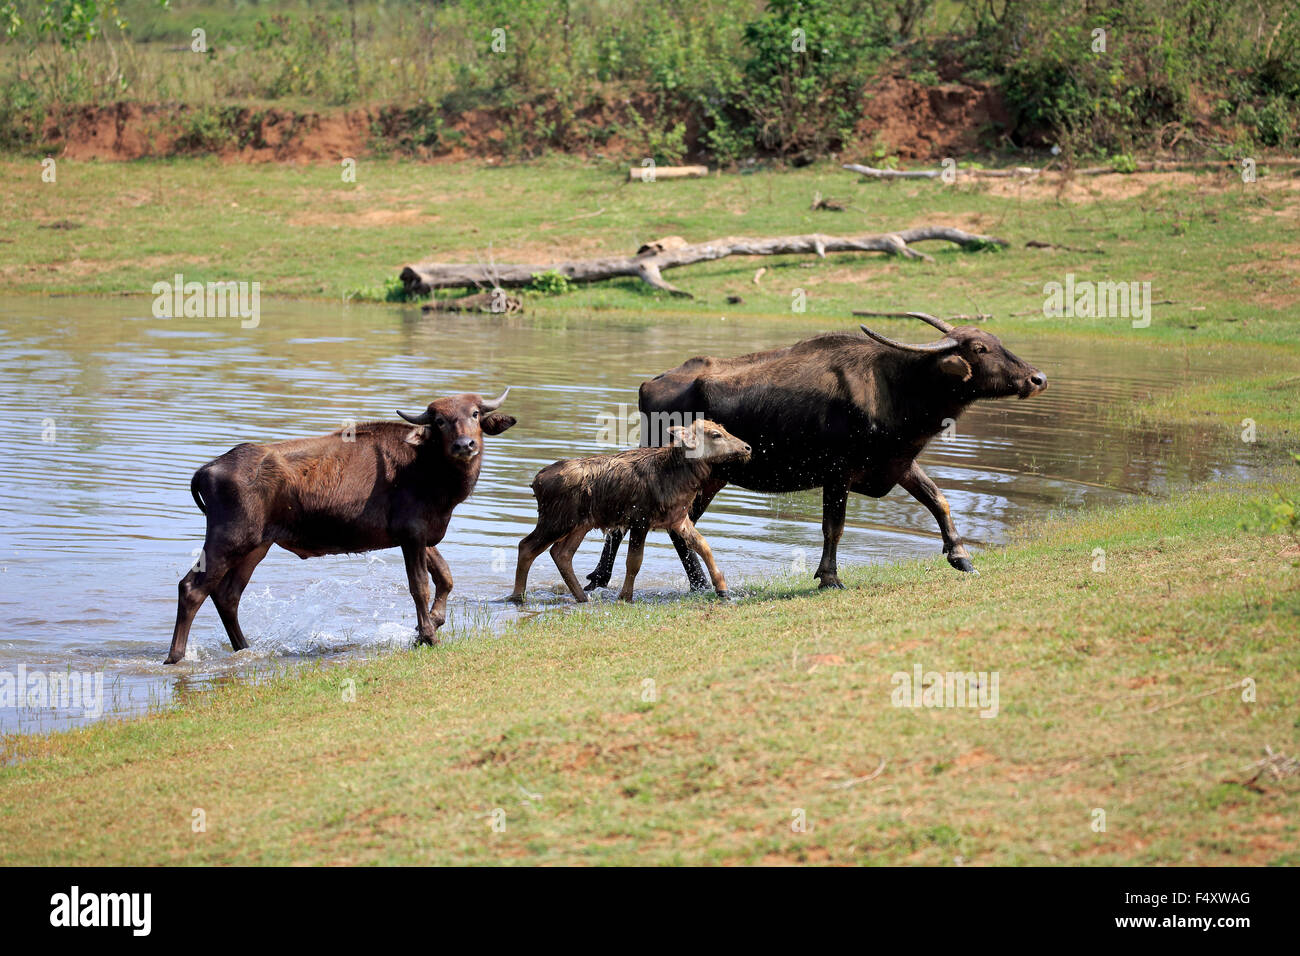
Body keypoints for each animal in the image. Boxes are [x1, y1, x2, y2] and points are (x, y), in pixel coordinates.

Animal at [167, 390, 517, 665]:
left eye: (474, 414)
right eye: (440, 421)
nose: (464, 445)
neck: (433, 474)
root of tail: (206, 470)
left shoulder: (421, 535)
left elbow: (445, 577)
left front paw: (429, 624)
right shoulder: (411, 533)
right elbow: (420, 586)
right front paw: (427, 635)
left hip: (257, 546)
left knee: (228, 595)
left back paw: (244, 647)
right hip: (229, 538)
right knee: (191, 588)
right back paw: (175, 657)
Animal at [506, 421, 754, 606]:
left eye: (722, 428)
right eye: (715, 435)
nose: (747, 448)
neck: (681, 478)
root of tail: (536, 482)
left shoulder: (678, 519)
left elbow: (703, 546)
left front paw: (723, 589)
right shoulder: (640, 519)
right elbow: (634, 561)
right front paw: (625, 596)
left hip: (580, 524)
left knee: (561, 553)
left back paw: (582, 597)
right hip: (556, 520)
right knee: (526, 546)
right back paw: (518, 596)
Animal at [590, 314, 1045, 595]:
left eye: (997, 342)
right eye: (980, 349)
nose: (1037, 378)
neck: (897, 386)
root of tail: (650, 384)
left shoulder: (897, 463)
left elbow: (939, 500)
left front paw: (961, 557)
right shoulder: (838, 474)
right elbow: (833, 527)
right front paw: (829, 578)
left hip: (709, 480)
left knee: (651, 527)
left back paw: (612, 578)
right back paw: (690, 584)